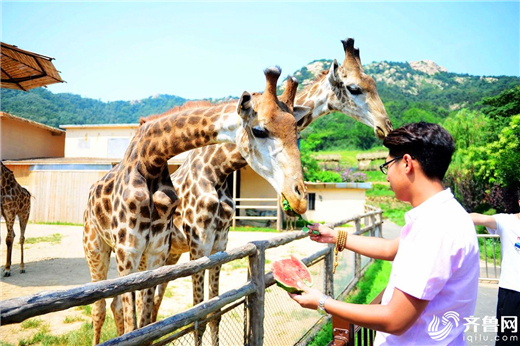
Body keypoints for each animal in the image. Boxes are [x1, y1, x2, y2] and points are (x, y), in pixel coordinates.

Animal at [82, 65, 308, 344]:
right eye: (259, 130)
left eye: (298, 133)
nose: (300, 197)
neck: (151, 160)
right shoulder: (138, 250)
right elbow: (182, 318)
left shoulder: (185, 248)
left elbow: (202, 313)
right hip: (96, 248)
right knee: (100, 308)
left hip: (164, 255)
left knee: (134, 306)